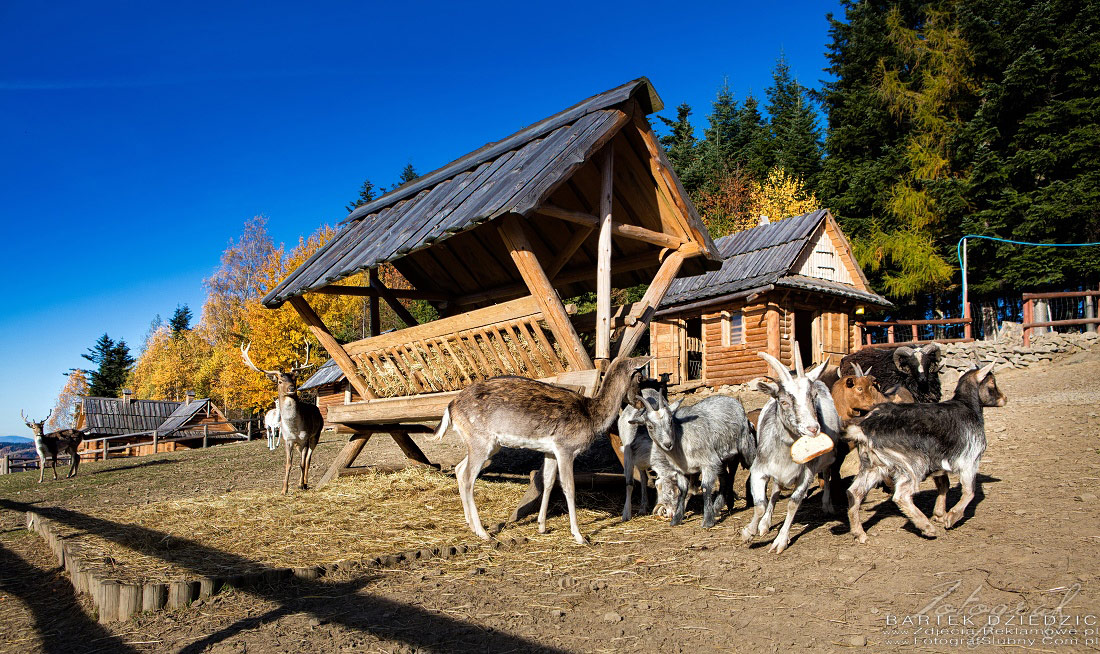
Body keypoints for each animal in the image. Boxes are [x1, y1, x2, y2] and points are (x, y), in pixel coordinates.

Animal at [240, 345, 321, 494]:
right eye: (280, 381)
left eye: (294, 379)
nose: (291, 388)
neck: (294, 428)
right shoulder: (288, 440)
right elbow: (288, 464)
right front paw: (284, 490)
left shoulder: (305, 439)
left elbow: (302, 463)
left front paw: (301, 484)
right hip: (297, 444)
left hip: (315, 436)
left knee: (308, 459)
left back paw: (304, 483)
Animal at [431, 356, 651, 545]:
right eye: (640, 377)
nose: (640, 403)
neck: (592, 417)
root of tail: (450, 407)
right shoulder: (565, 447)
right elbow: (569, 487)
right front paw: (579, 535)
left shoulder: (550, 451)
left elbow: (548, 482)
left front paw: (542, 526)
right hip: (480, 440)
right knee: (468, 477)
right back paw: (482, 532)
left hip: (485, 444)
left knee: (459, 469)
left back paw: (470, 524)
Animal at [739, 349, 840, 556]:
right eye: (784, 401)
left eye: (814, 396)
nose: (813, 429)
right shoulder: (759, 470)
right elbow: (760, 505)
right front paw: (749, 533)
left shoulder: (806, 474)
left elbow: (793, 504)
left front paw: (780, 541)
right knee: (776, 490)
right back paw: (765, 524)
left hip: (828, 458)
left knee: (827, 474)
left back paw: (827, 504)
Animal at [844, 362, 1007, 542]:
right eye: (992, 382)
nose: (1004, 398)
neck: (968, 407)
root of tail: (866, 426)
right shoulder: (970, 459)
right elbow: (969, 491)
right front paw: (951, 517)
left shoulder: (939, 464)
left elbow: (944, 485)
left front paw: (939, 514)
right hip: (913, 464)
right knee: (901, 495)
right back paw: (926, 527)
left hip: (873, 465)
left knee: (854, 492)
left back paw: (859, 533)